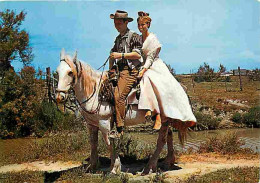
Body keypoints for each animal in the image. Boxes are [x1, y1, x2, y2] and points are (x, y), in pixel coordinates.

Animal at [55, 49, 185, 175]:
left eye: (70, 72)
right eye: (57, 72)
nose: (59, 97)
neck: (95, 92)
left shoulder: (104, 123)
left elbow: (109, 143)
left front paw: (114, 168)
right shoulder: (91, 124)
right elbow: (93, 143)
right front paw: (92, 167)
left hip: (164, 120)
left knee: (161, 140)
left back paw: (148, 168)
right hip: (166, 119)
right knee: (169, 136)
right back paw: (167, 162)